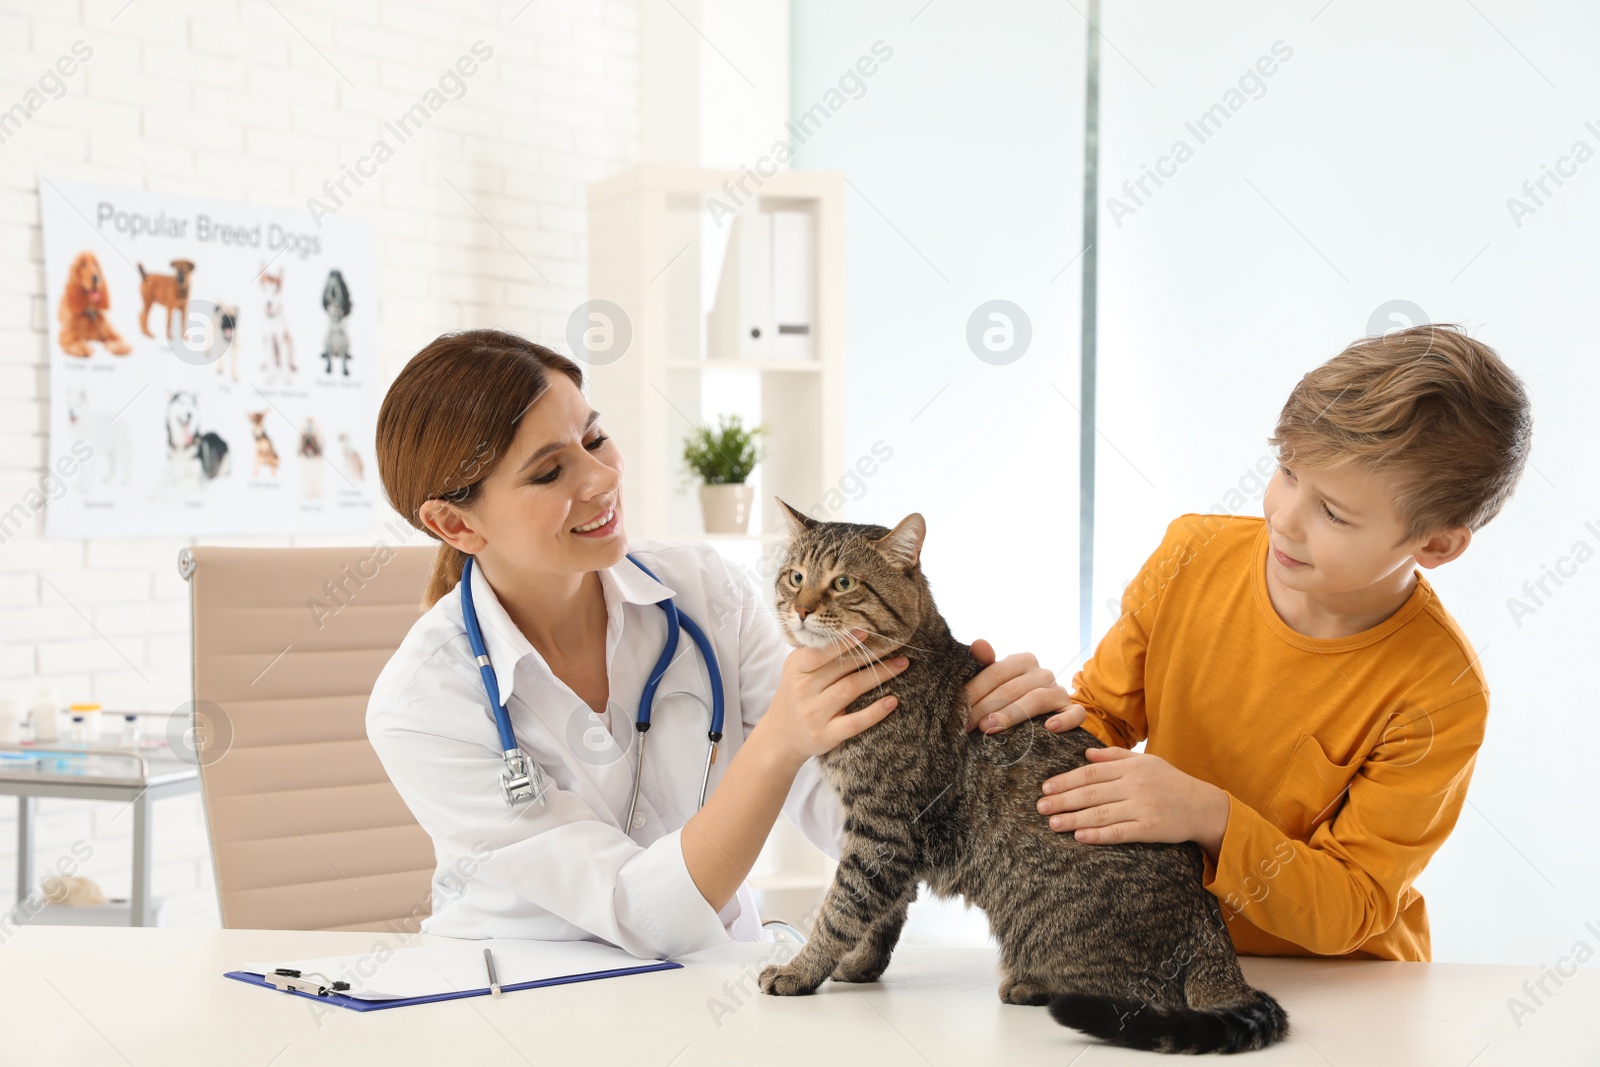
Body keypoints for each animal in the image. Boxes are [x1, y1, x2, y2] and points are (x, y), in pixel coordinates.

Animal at [755, 505, 1292, 1055]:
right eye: (795, 577)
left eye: (842, 583)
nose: (800, 608)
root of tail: (1212, 936)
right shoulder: (885, 834)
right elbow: (886, 915)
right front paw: (862, 965)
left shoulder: (885, 830)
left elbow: (841, 910)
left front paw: (800, 971)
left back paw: (1034, 984)